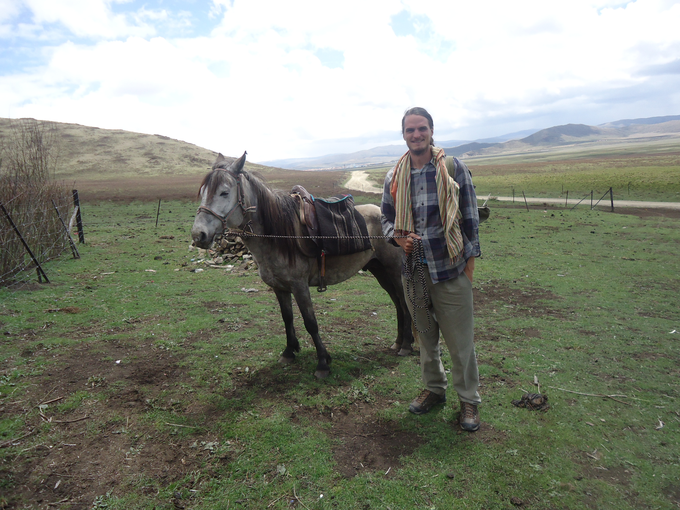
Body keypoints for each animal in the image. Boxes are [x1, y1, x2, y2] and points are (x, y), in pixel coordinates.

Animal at [191, 151, 414, 378]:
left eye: (224, 193)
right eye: (203, 192)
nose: (199, 235)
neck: (278, 235)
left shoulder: (300, 286)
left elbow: (310, 322)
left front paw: (323, 362)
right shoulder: (280, 288)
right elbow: (287, 318)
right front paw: (289, 352)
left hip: (394, 271)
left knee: (404, 304)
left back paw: (406, 345)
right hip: (380, 271)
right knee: (397, 303)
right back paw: (398, 342)